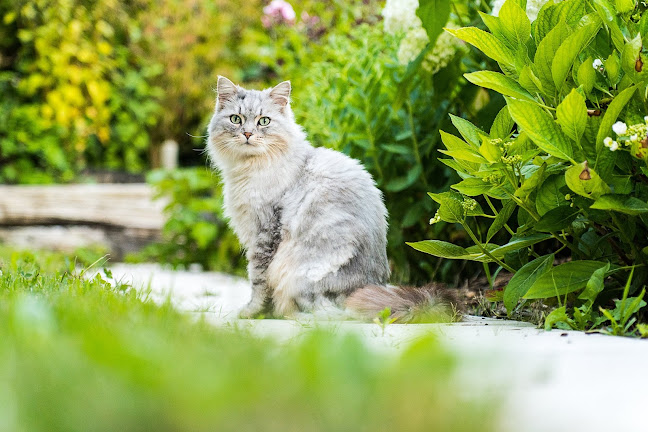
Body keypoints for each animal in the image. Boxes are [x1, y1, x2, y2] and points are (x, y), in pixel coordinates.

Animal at [208, 77, 456, 320]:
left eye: (264, 121)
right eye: (236, 119)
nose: (248, 134)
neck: (250, 168)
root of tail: (373, 285)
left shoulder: (265, 234)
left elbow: (258, 281)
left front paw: (251, 313)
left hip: (299, 273)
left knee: (330, 315)